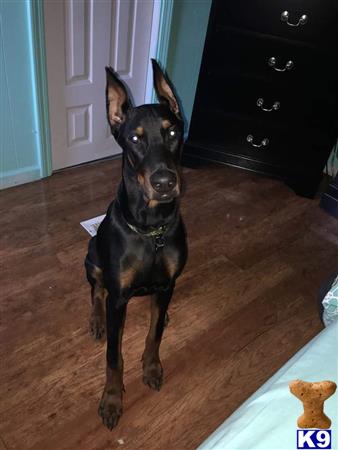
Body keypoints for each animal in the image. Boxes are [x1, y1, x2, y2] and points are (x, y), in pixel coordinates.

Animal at [84, 59, 187, 428]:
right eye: (134, 138)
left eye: (172, 132)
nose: (164, 183)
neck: (151, 229)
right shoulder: (118, 298)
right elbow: (113, 357)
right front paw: (113, 399)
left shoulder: (168, 282)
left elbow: (154, 334)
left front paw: (152, 366)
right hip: (91, 257)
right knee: (97, 291)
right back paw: (97, 321)